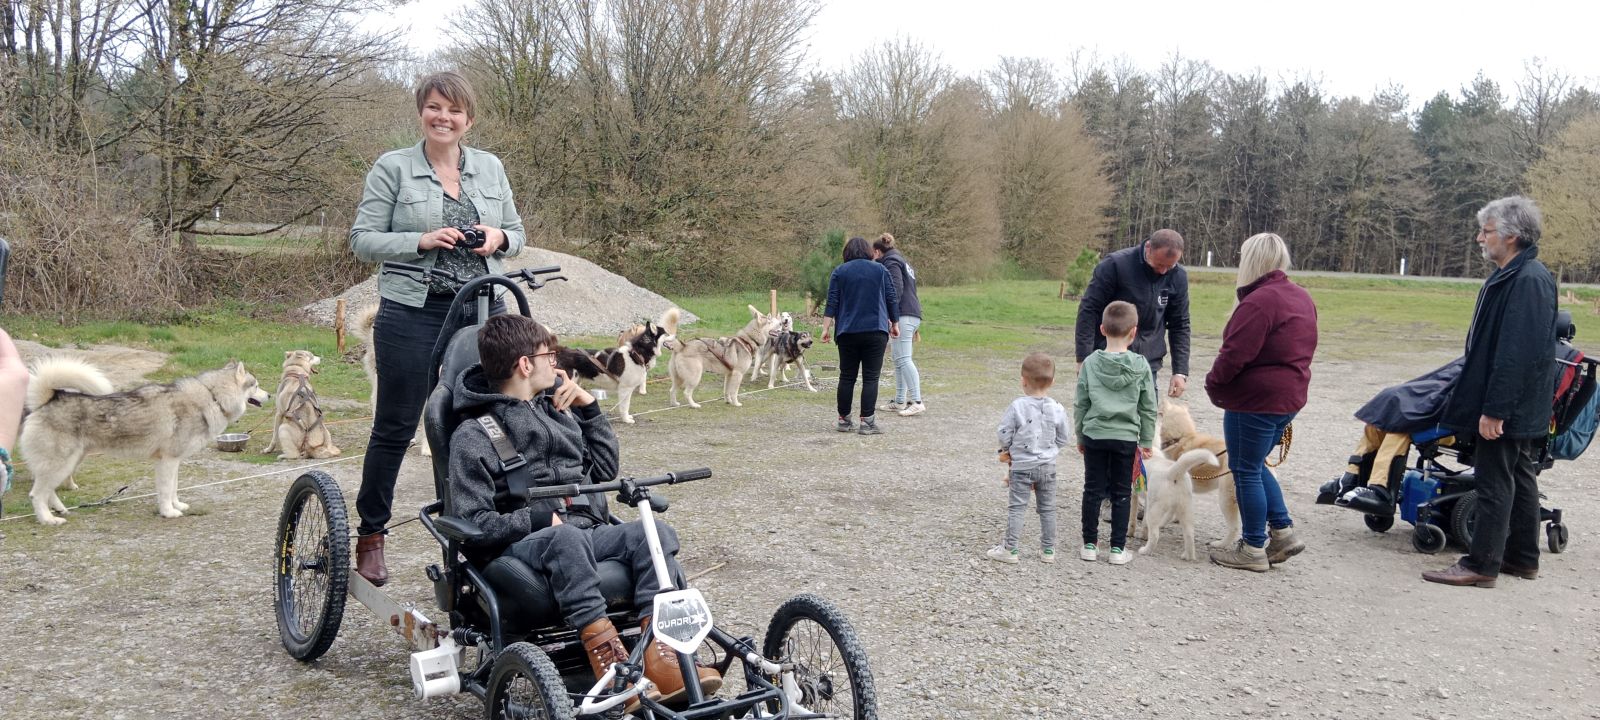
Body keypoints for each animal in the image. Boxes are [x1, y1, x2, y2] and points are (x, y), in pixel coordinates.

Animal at [21, 358, 268, 521]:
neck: (212, 396)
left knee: (48, 492)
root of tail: (50, 399)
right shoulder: (168, 461)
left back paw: (60, 510)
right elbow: (166, 490)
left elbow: (173, 489)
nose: (269, 395)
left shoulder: (172, 462)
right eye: (255, 385)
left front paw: (177, 506)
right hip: (61, 464)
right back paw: (49, 519)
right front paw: (168, 512)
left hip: (67, 464)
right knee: (36, 494)